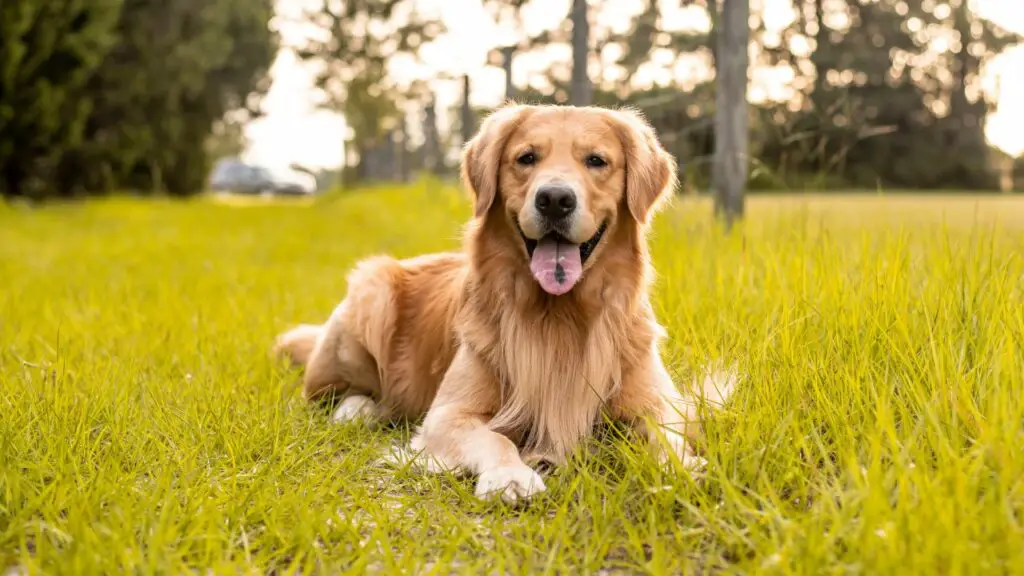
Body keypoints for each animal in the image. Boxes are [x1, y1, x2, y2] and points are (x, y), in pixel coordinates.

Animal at [276, 105, 733, 500]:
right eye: (526, 158)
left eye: (597, 161)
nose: (555, 199)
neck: (560, 317)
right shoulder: (447, 415)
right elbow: (494, 437)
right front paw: (511, 476)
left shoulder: (660, 405)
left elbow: (668, 437)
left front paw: (682, 467)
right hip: (372, 292)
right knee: (330, 393)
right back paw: (357, 410)